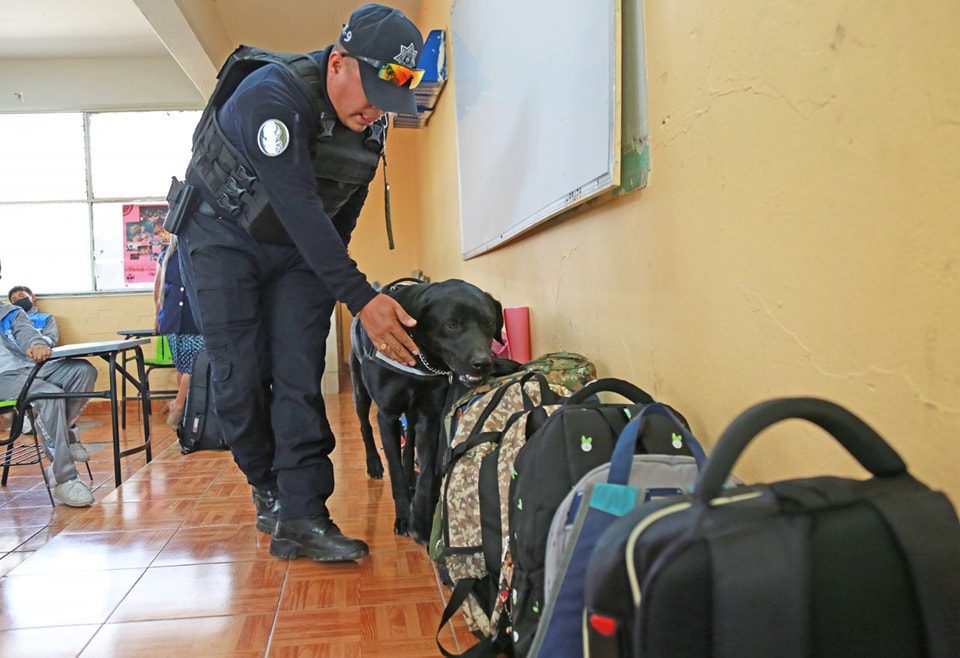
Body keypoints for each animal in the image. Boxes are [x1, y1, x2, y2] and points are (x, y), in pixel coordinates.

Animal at [350, 276, 502, 540]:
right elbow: (396, 474)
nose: (483, 363)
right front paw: (404, 517)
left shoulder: (430, 415)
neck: (421, 358)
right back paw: (374, 463)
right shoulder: (387, 416)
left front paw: (421, 521)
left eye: (489, 323)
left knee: (409, 440)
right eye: (451, 325)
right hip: (360, 391)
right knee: (364, 426)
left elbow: (427, 471)